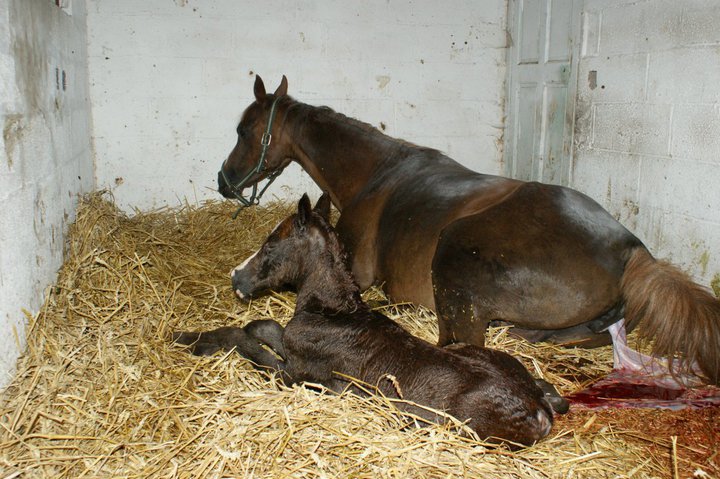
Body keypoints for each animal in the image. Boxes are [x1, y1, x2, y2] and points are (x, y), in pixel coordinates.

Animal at [215, 75, 720, 386]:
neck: (374, 174)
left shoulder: (353, 276)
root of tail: (631, 249)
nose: (223, 181)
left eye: (244, 130)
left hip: (453, 258)